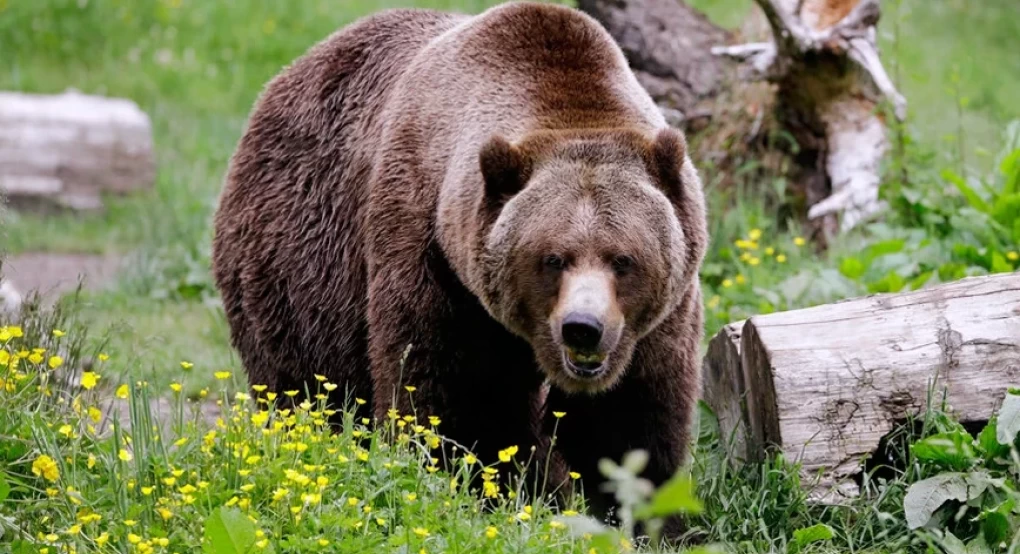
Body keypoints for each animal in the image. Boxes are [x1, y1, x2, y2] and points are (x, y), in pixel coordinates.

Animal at [211, 0, 705, 526]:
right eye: (553, 258)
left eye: (623, 259)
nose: (582, 328)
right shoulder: (433, 255)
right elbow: (455, 397)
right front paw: (484, 490)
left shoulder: (659, 318)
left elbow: (630, 420)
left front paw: (638, 513)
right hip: (298, 263)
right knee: (303, 384)